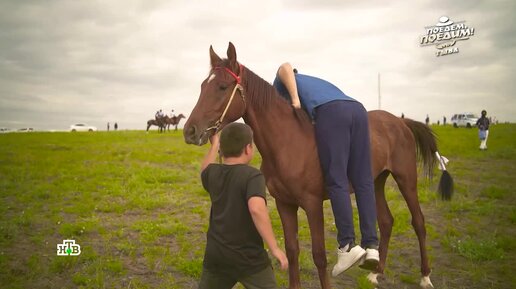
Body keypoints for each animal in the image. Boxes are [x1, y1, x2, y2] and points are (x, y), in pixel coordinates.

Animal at [183, 42, 454, 288]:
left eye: (222, 86)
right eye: (202, 86)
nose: (190, 131)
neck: (289, 142)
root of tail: (401, 122)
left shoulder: (312, 205)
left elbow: (319, 256)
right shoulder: (284, 204)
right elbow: (292, 251)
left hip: (406, 179)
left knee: (418, 223)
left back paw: (425, 277)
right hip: (375, 181)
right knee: (386, 221)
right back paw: (376, 272)